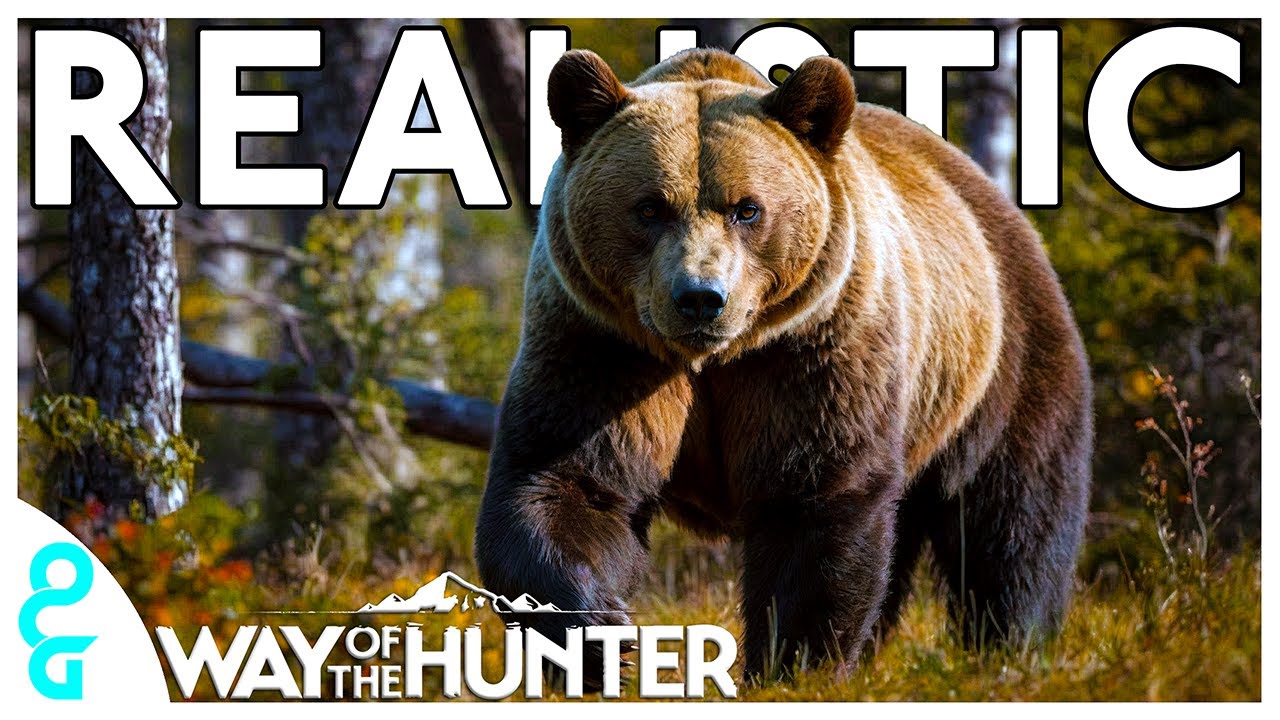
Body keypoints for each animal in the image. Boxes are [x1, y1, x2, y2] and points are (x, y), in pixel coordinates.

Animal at [475, 47, 1093, 685]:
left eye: (747, 209)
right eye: (649, 208)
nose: (700, 297)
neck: (714, 358)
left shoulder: (811, 351)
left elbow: (814, 500)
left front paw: (792, 665)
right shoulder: (604, 345)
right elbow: (567, 478)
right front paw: (601, 638)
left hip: (997, 358)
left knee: (1013, 517)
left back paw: (1011, 647)